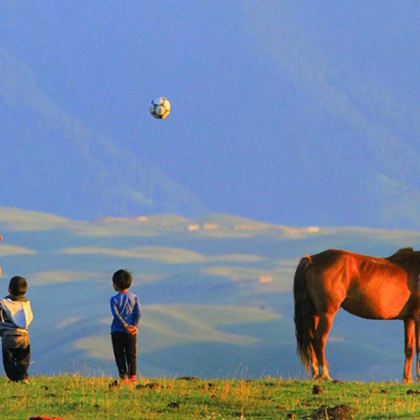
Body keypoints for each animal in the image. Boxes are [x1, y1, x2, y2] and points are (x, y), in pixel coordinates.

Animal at [294, 249, 418, 384]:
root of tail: (312, 260)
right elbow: (418, 348)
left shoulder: (409, 319)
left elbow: (409, 348)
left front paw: (408, 380)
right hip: (327, 314)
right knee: (319, 339)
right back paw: (325, 375)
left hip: (315, 314)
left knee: (311, 339)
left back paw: (316, 374)